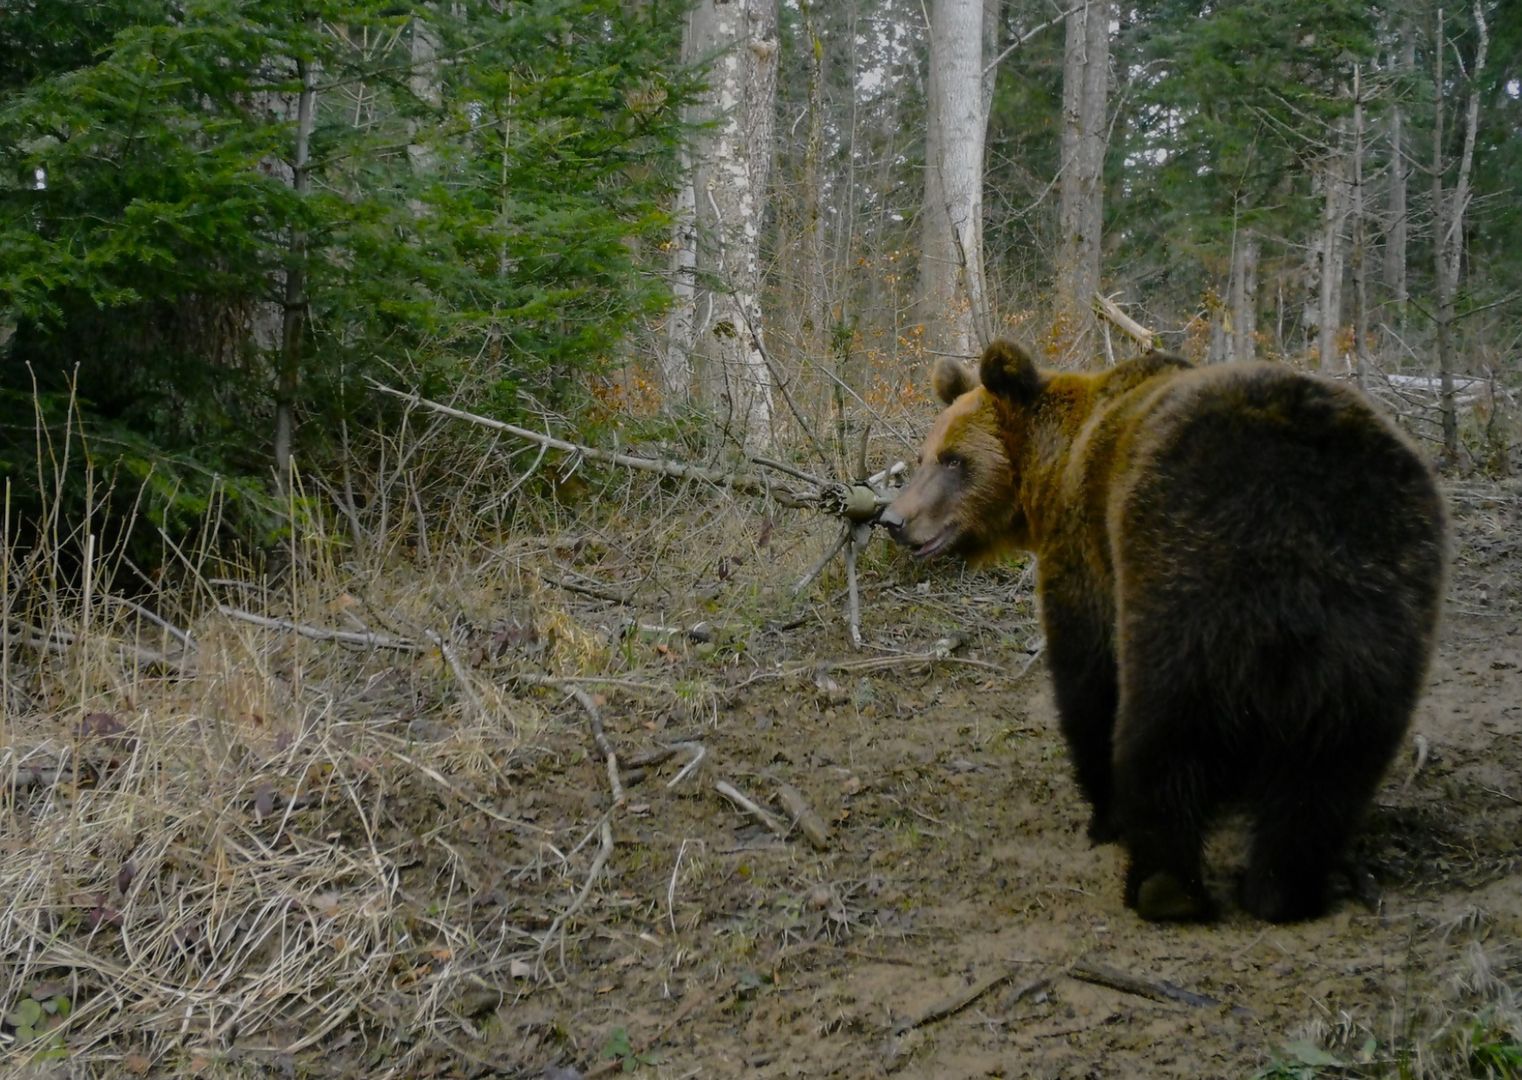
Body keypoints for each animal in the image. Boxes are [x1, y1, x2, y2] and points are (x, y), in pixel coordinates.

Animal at [882, 342, 1448, 924]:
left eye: (955, 459)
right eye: (925, 456)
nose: (893, 519)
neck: (1053, 464)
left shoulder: (1086, 551)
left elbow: (1088, 676)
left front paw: (1103, 816)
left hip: (1184, 562)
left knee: (1166, 726)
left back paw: (1163, 884)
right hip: (1380, 595)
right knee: (1337, 754)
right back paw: (1284, 890)